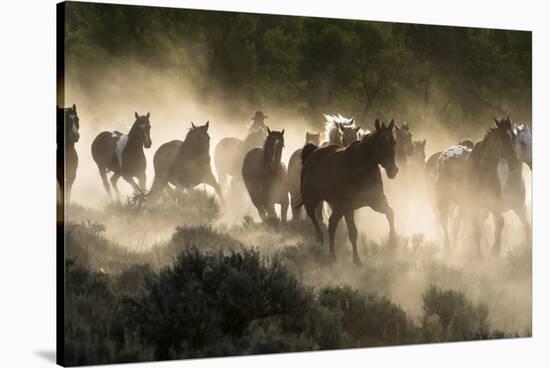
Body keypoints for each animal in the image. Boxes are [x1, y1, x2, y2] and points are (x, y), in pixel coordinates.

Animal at [300, 119, 398, 266]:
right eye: (380, 143)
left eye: (394, 142)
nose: (393, 170)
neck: (361, 168)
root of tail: (312, 153)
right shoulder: (348, 207)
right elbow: (353, 232)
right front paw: (357, 260)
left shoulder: (376, 202)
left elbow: (390, 213)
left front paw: (393, 242)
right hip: (313, 199)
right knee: (313, 215)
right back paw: (320, 239)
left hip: (337, 207)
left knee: (332, 224)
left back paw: (332, 254)